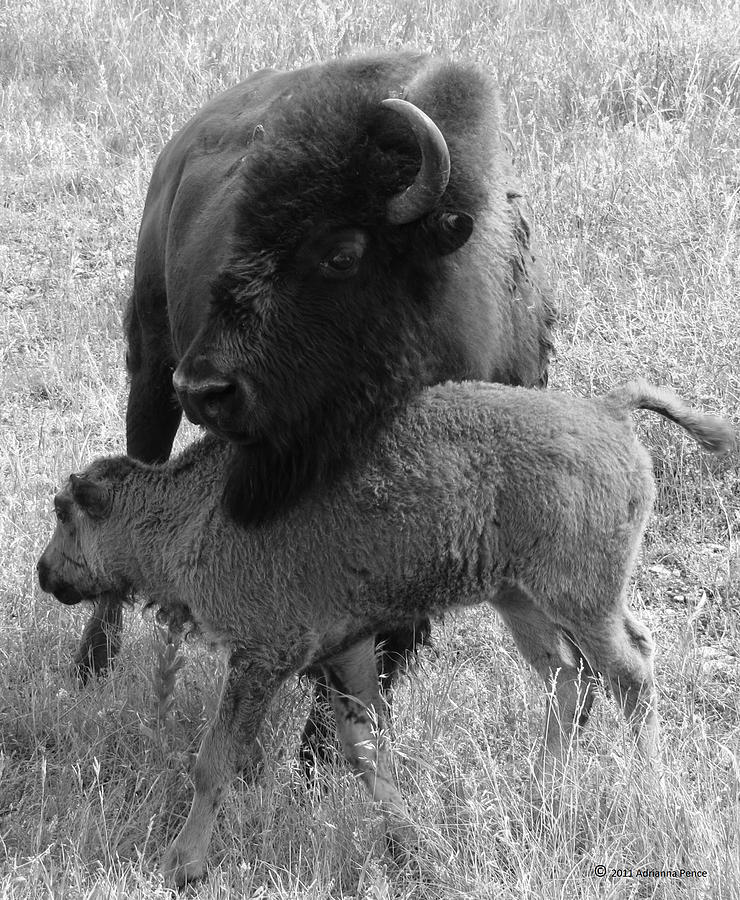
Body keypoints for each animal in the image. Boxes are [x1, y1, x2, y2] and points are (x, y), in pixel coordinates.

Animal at [36, 376, 736, 884]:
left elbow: (218, 758)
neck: (196, 509)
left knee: (630, 672)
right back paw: (542, 797)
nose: (45, 573)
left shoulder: (262, 657)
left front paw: (181, 864)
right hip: (522, 600)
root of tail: (606, 412)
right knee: (568, 678)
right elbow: (366, 749)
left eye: (65, 512)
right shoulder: (344, 650)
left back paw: (651, 798)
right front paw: (412, 843)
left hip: (580, 597)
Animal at [72, 47, 556, 768]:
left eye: (341, 253)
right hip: (149, 367)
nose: (205, 388)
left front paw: (326, 753)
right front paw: (316, 757)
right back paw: (93, 663)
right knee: (126, 480)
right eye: (243, 234)